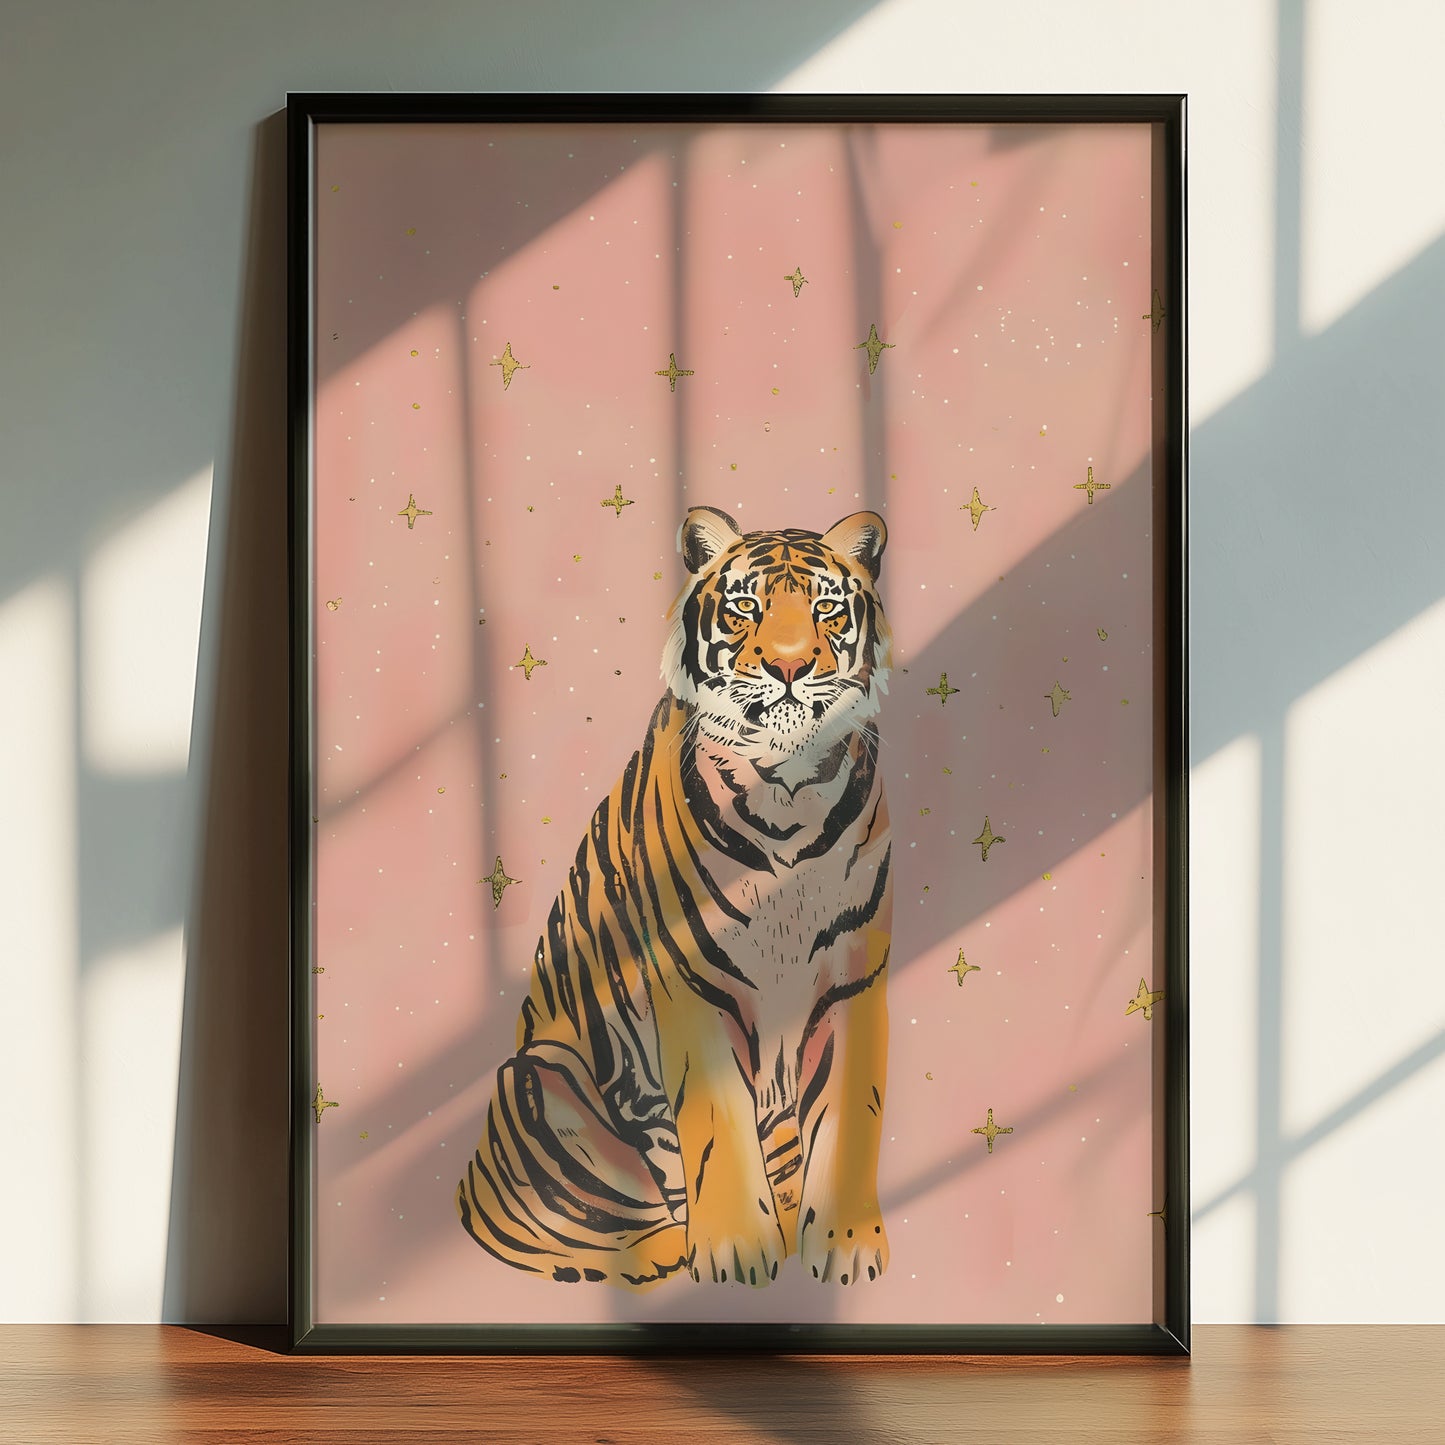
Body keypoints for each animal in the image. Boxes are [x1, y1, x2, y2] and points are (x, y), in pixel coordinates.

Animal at [458, 506, 893, 1288]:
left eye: (826, 608)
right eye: (745, 605)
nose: (789, 667)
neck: (787, 792)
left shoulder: (855, 977)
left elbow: (854, 1113)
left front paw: (844, 1243)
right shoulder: (689, 980)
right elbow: (715, 1120)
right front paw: (734, 1251)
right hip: (540, 1075)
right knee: (573, 1232)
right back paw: (670, 1247)